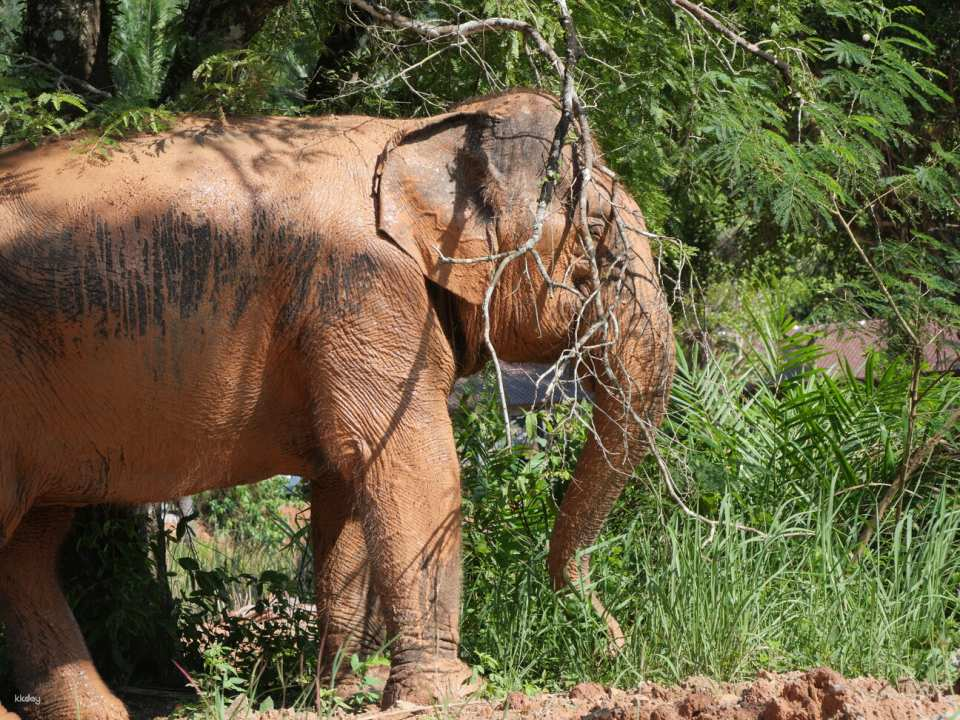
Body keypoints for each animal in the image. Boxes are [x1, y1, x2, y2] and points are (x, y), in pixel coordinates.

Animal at [0, 88, 674, 719]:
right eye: (598, 238)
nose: (617, 646)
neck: (417, 137)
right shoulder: (362, 288)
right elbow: (411, 464)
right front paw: (450, 694)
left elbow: (344, 488)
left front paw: (348, 694)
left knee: (30, 545)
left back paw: (98, 710)